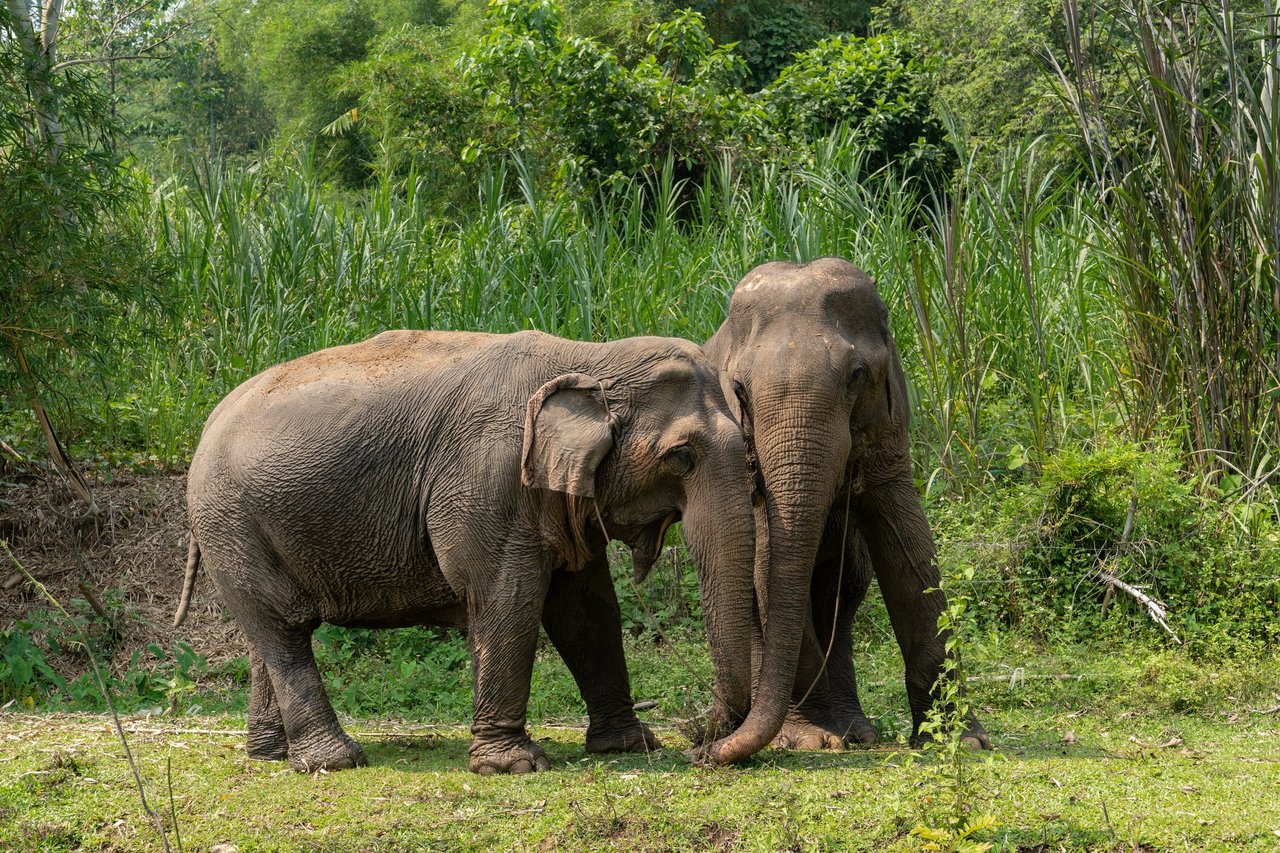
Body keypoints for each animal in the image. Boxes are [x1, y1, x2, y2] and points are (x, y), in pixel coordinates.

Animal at [175, 327, 803, 773]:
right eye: (682, 457)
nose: (698, 743)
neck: (591, 356)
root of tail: (205, 426)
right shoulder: (488, 480)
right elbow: (510, 599)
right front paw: (514, 765)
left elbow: (587, 610)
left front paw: (629, 746)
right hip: (230, 519)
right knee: (284, 627)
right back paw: (336, 761)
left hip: (240, 528)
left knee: (268, 632)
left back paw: (271, 755)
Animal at [701, 257, 988, 753]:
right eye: (738, 389)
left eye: (856, 375)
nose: (707, 752)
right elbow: (766, 565)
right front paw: (813, 740)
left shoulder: (891, 424)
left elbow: (911, 551)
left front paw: (962, 741)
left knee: (846, 590)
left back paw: (858, 732)